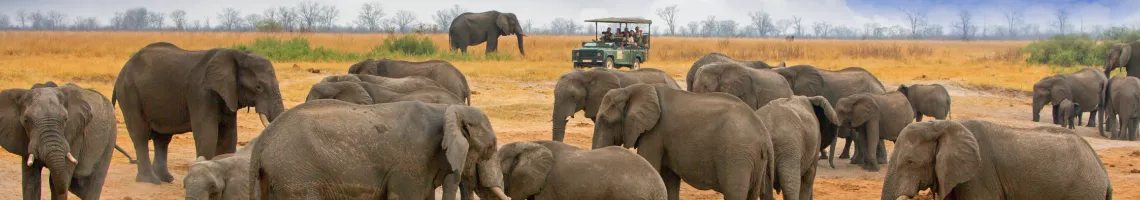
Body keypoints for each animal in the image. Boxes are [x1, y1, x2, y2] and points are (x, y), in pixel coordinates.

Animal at [111, 42, 287, 184]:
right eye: (258, 87)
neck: (237, 54)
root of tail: (123, 69)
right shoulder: (201, 93)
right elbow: (207, 135)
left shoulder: (228, 94)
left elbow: (228, 137)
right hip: (129, 93)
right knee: (140, 135)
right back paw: (150, 181)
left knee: (162, 138)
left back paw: (166, 179)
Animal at [588, 84, 784, 200]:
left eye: (605, 120)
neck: (632, 90)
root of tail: (765, 136)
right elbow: (670, 179)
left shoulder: (655, 133)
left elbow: (652, 164)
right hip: (756, 160)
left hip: (737, 156)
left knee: (734, 192)